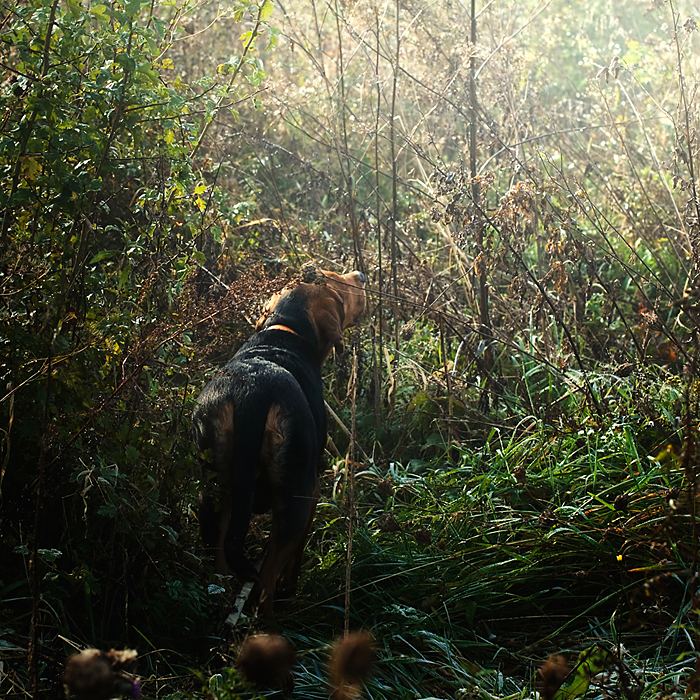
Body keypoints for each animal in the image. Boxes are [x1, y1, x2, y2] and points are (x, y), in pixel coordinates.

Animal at [191, 266, 366, 616]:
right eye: (338, 283)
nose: (362, 276)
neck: (285, 328)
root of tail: (250, 393)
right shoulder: (312, 491)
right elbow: (295, 557)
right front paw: (291, 587)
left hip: (216, 492)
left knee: (221, 561)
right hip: (295, 497)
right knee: (266, 582)